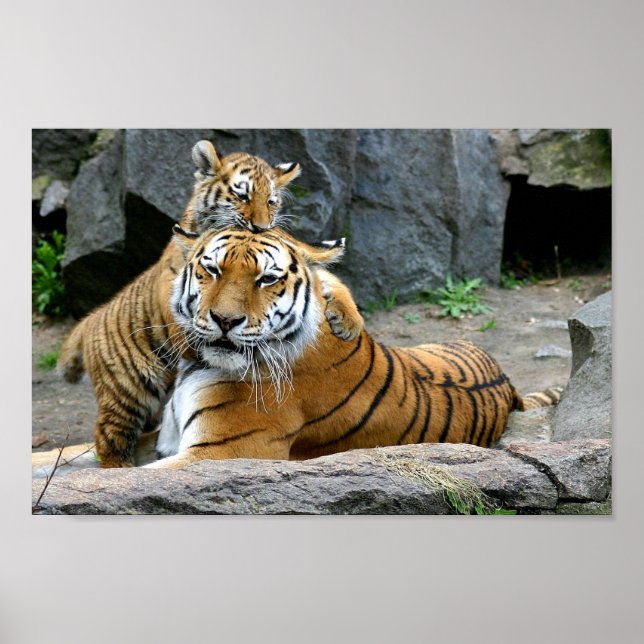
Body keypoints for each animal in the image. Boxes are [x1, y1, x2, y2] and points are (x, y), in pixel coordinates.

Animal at [57, 140, 364, 468]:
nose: (261, 227)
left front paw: (349, 322)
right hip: (128, 391)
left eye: (271, 201)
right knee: (109, 437)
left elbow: (329, 279)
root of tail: (90, 319)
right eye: (242, 196)